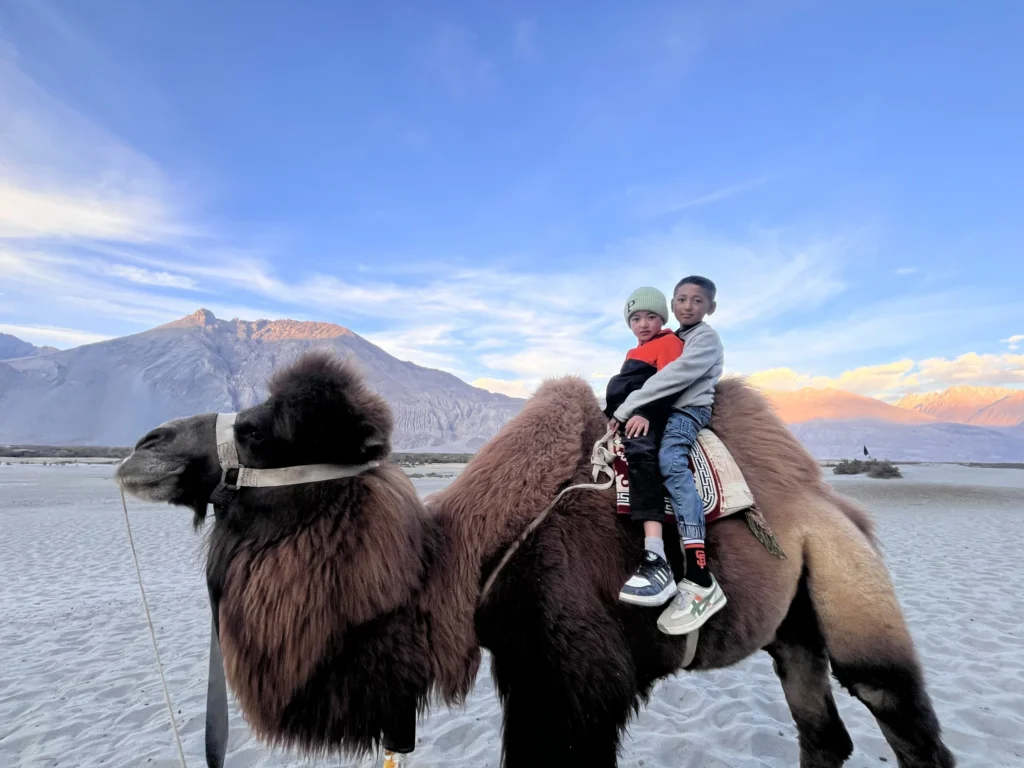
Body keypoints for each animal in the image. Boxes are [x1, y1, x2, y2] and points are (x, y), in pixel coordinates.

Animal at [116, 351, 955, 768]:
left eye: (259, 431)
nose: (144, 444)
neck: (458, 574)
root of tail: (840, 509)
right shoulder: (524, 673)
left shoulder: (574, 685)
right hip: (792, 627)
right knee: (823, 733)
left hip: (852, 592)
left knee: (899, 715)